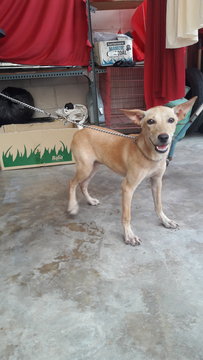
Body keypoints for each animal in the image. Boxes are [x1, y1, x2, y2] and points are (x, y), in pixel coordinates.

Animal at [68, 97, 197, 246]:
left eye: (171, 120)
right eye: (150, 121)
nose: (164, 137)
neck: (150, 155)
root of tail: (81, 130)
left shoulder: (157, 182)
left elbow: (158, 205)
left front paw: (165, 220)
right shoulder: (127, 187)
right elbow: (126, 215)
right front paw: (129, 235)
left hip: (93, 167)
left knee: (83, 184)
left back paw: (90, 200)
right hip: (85, 167)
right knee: (72, 183)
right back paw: (72, 206)